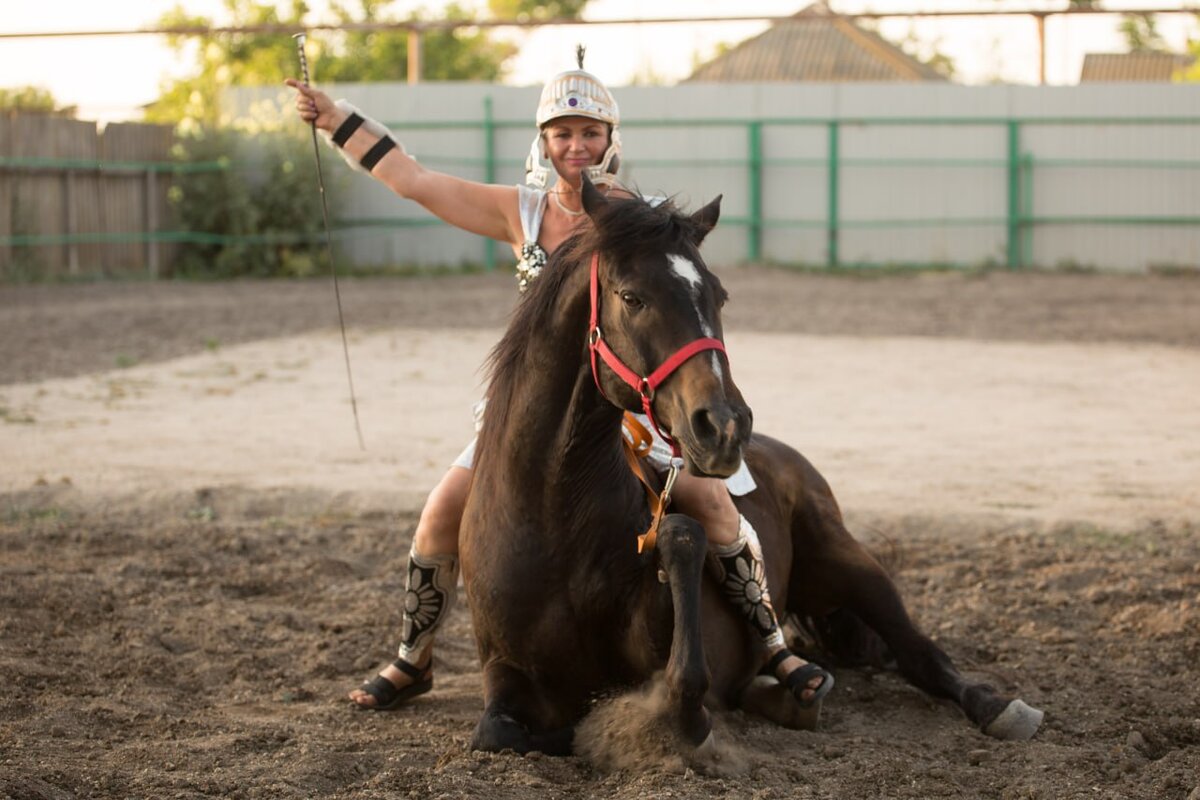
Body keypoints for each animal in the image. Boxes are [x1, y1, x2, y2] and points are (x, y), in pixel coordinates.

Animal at [458, 179, 1041, 758]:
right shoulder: (504, 674)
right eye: (632, 297)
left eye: (717, 296)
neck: (554, 519)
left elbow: (679, 684)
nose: (725, 424)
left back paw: (990, 706)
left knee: (920, 654)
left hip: (850, 563)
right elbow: (499, 732)